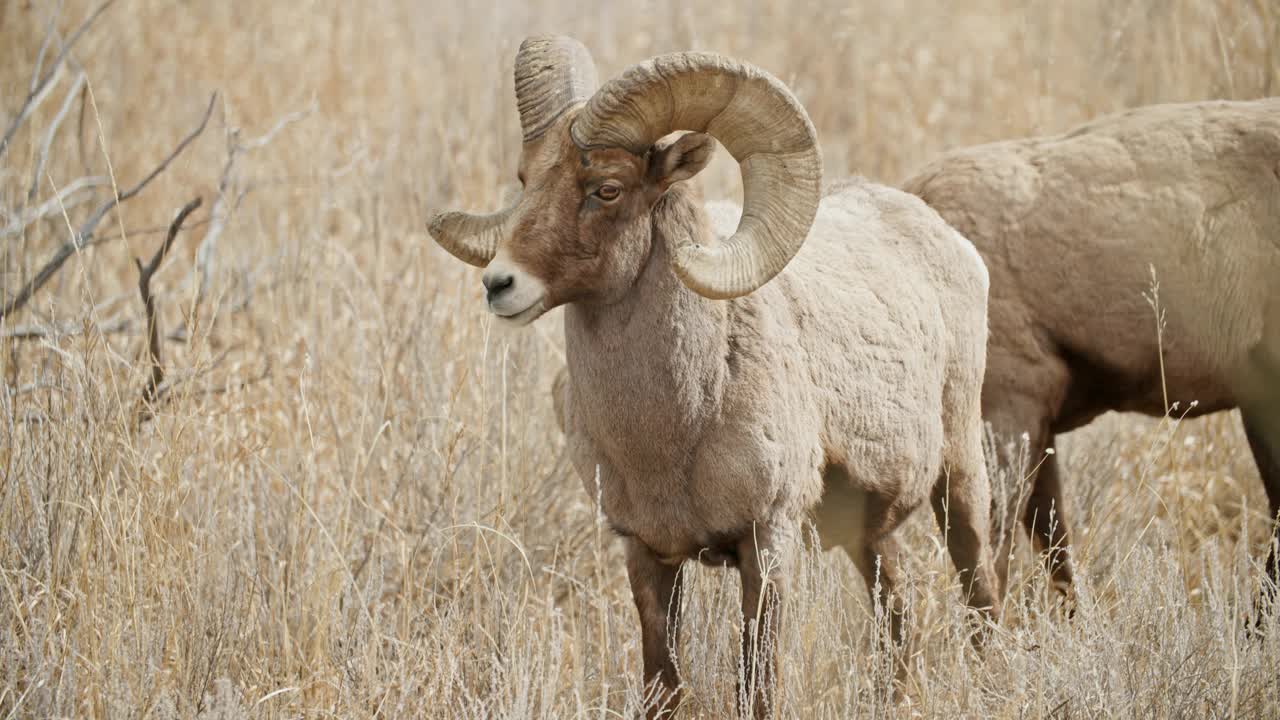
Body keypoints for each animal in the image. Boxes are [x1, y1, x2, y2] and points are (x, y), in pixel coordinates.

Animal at [430, 36, 998, 712]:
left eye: (607, 189)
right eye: (525, 178)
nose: (500, 284)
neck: (674, 433)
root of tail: (946, 239)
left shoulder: (767, 543)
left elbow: (755, 685)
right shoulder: (645, 555)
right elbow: (662, 685)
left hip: (960, 478)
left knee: (981, 593)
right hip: (872, 533)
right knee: (896, 612)